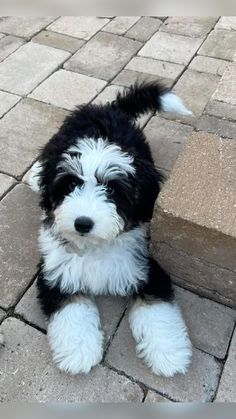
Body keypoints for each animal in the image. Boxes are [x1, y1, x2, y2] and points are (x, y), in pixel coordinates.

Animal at [29, 82, 192, 378]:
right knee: (45, 156)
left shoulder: (146, 268)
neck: (95, 245)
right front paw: (79, 353)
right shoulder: (56, 272)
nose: (82, 223)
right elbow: (71, 311)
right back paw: (34, 176)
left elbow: (158, 311)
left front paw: (169, 354)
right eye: (71, 185)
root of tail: (106, 109)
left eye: (113, 191)